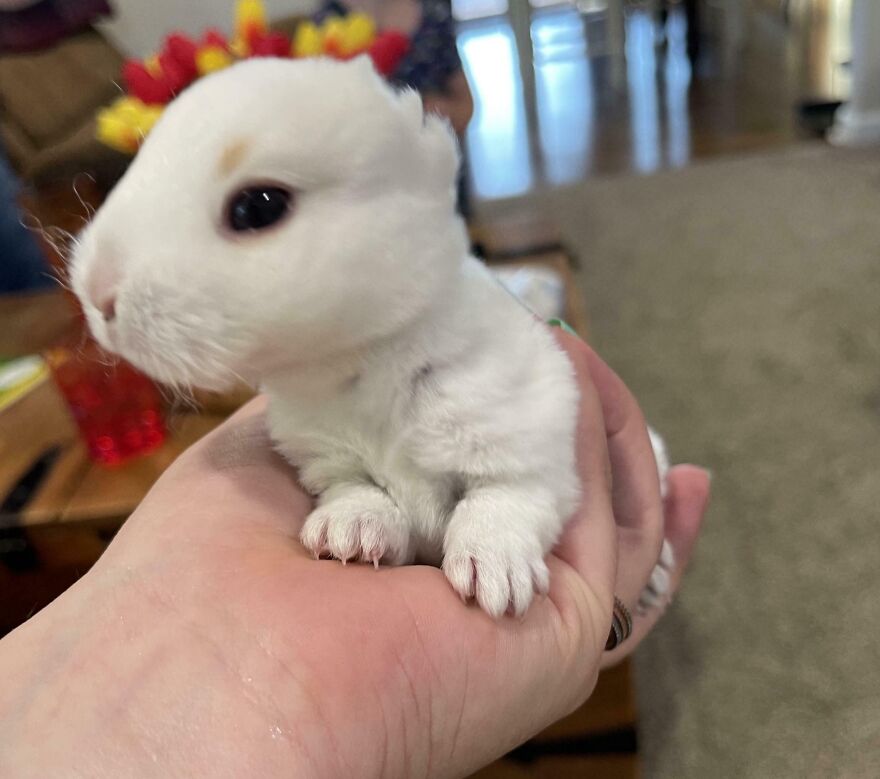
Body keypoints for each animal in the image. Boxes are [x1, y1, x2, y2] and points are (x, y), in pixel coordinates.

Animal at [74, 56, 668, 616]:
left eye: (258, 206)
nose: (96, 295)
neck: (365, 366)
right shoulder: (334, 463)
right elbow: (361, 492)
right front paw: (346, 535)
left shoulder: (527, 452)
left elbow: (501, 503)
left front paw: (495, 578)